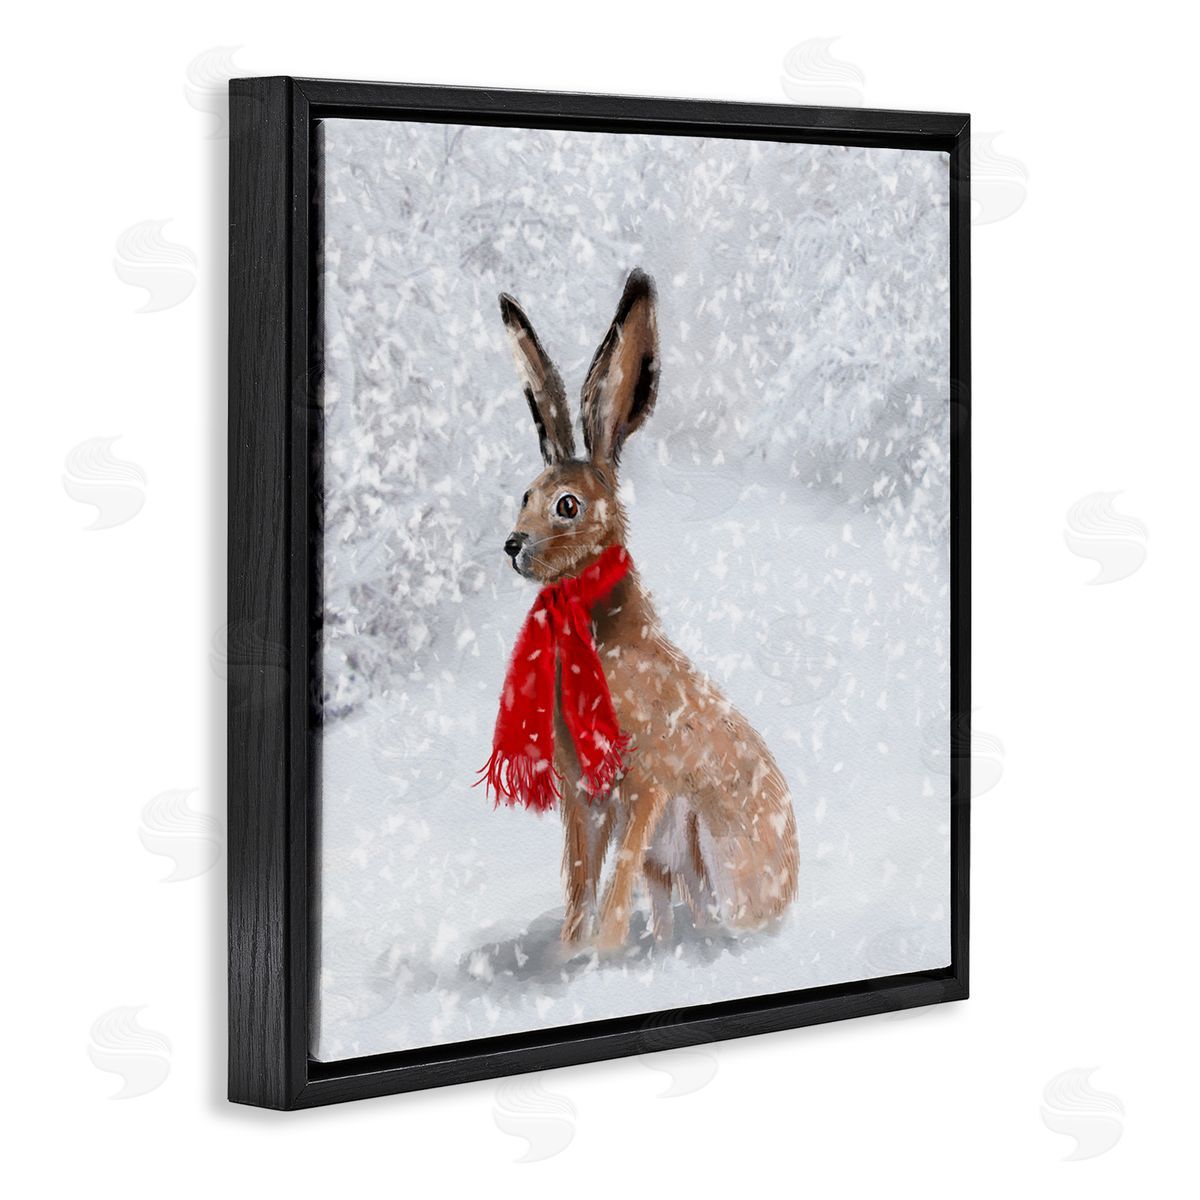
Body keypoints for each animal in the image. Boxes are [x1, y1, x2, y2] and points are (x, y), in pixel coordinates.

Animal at [495, 268, 799, 951]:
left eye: (568, 506)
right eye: (525, 494)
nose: (513, 545)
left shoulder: (648, 784)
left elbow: (612, 887)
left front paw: (599, 954)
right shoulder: (583, 799)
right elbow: (581, 882)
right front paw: (572, 954)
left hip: (706, 842)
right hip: (674, 862)